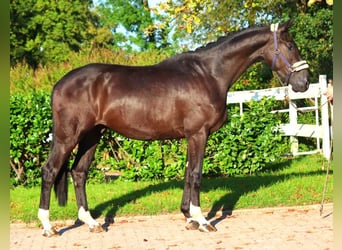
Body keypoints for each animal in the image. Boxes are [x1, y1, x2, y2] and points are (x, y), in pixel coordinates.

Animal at [38, 20, 310, 236]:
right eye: (290, 46)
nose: (304, 82)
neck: (209, 74)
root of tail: (59, 84)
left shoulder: (191, 136)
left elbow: (188, 173)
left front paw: (189, 218)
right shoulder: (199, 134)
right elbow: (196, 174)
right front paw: (202, 220)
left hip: (92, 136)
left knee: (78, 172)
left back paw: (92, 223)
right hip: (68, 137)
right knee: (50, 171)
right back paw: (48, 226)